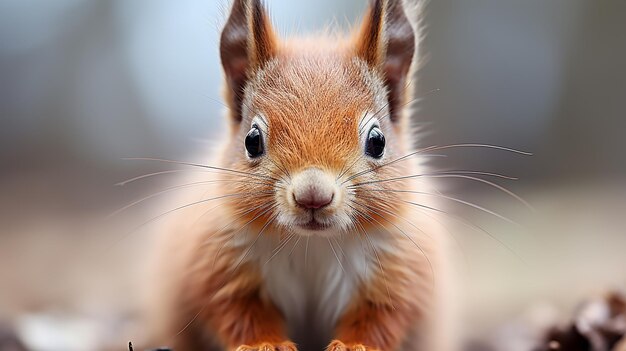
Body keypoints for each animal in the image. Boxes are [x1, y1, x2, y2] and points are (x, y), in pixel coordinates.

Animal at [143, 0, 450, 351]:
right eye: (252, 141)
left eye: (377, 141)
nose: (313, 196)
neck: (311, 245)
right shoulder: (221, 270)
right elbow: (239, 313)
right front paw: (266, 344)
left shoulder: (398, 274)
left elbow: (381, 318)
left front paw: (353, 346)